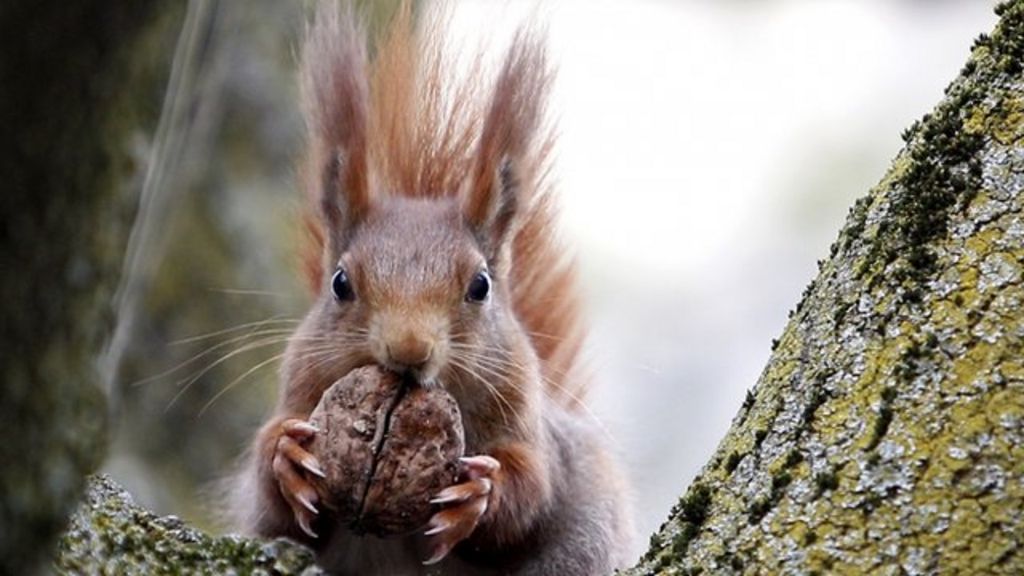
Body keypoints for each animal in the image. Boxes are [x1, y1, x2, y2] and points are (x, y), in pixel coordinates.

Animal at [232, 3, 630, 569]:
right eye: (340, 283)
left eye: (481, 285)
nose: (409, 349)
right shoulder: (301, 387)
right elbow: (272, 503)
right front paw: (286, 456)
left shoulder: (529, 426)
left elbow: (530, 489)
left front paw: (478, 496)